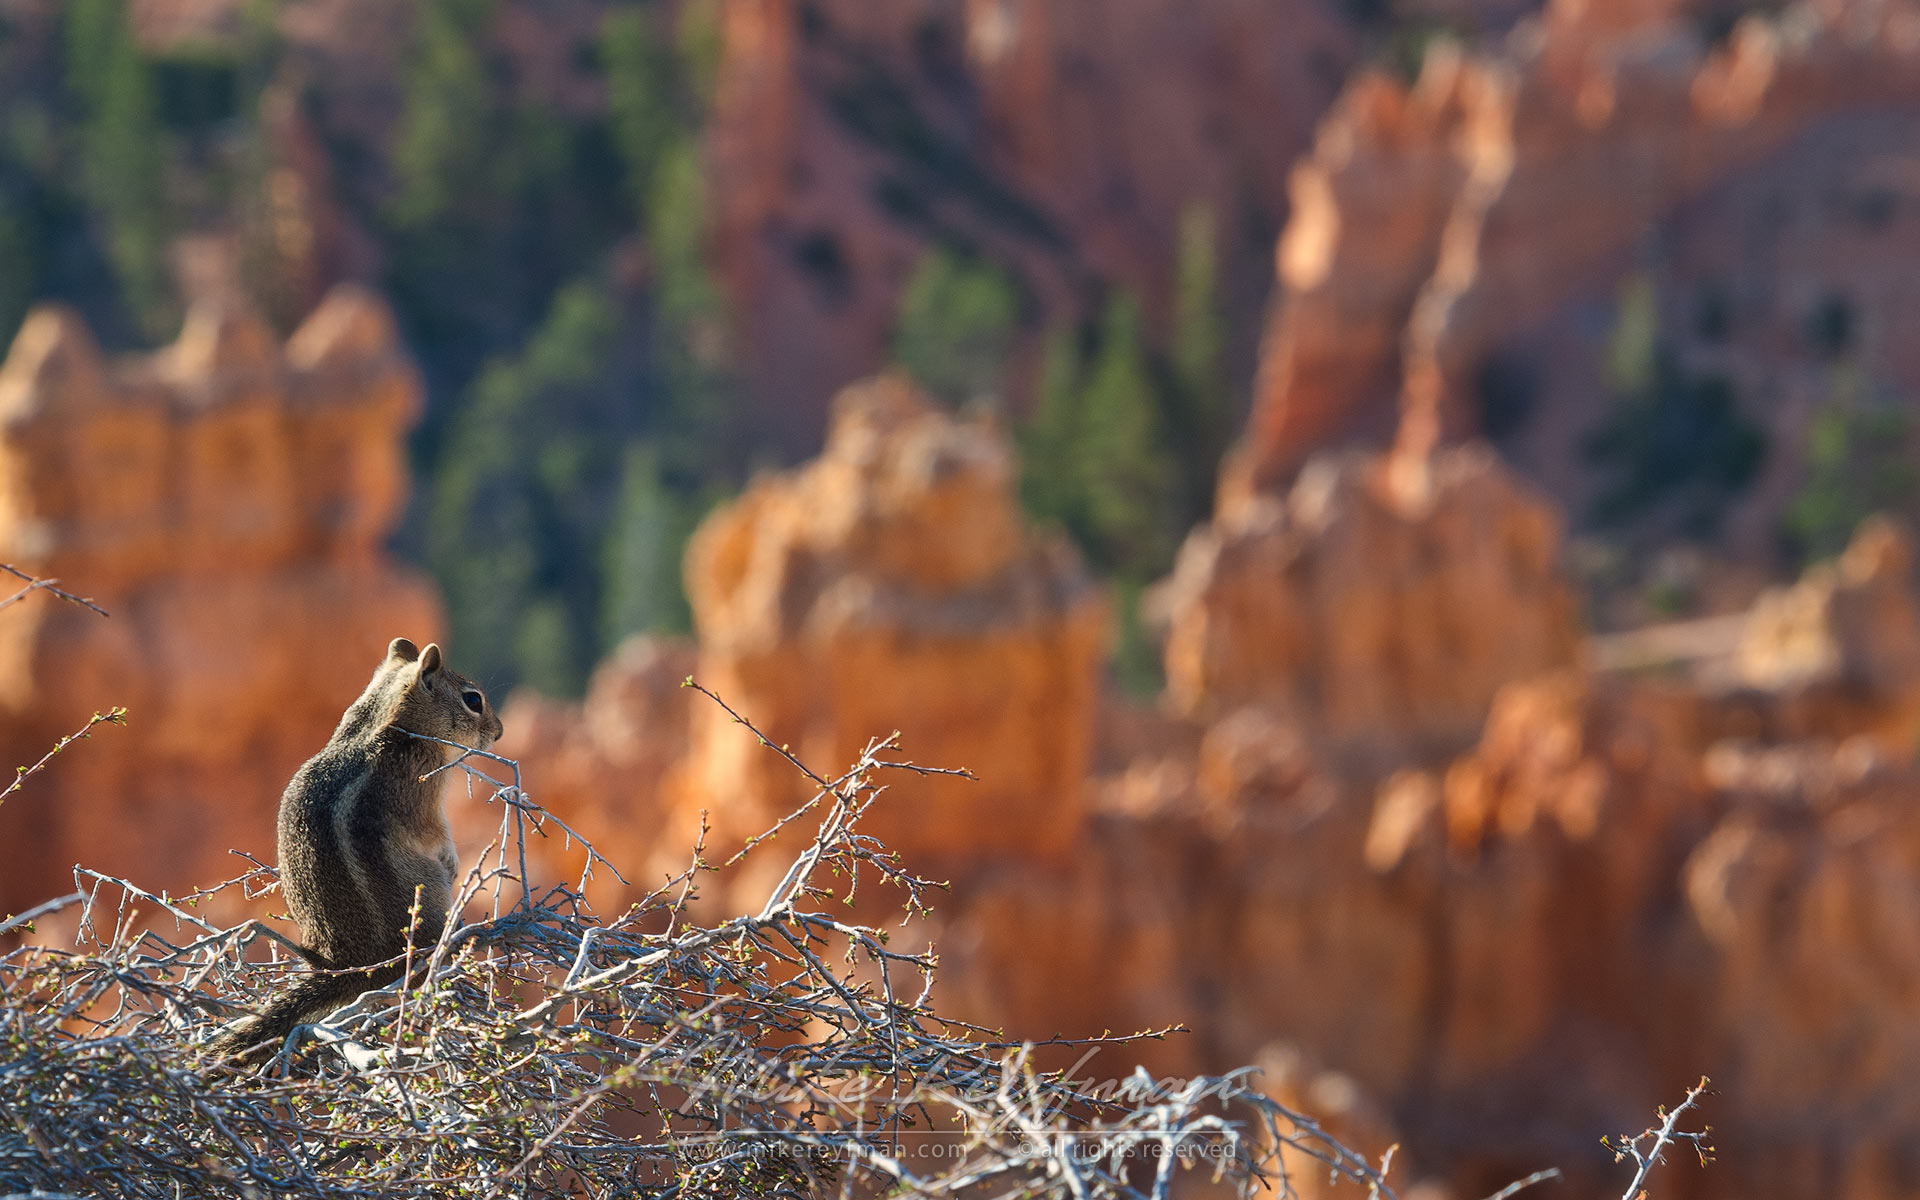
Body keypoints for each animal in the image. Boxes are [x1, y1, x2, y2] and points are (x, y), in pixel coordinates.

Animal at [208, 637, 503, 1062]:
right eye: (473, 700)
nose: (499, 732)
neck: (381, 723)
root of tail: (349, 964)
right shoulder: (423, 797)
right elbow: (436, 835)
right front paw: (452, 860)